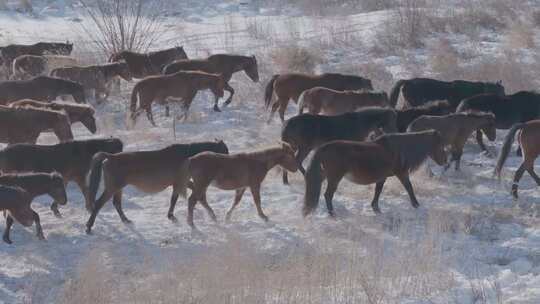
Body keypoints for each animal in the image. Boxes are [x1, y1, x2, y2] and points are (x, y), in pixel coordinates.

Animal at [85, 139, 229, 234]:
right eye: (224, 151)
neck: (187, 156)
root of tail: (110, 156)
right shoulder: (179, 182)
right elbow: (177, 198)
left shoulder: (179, 183)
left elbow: (175, 198)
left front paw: (171, 216)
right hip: (112, 187)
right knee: (99, 203)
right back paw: (89, 226)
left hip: (118, 188)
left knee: (116, 203)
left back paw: (126, 220)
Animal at [302, 130, 446, 216]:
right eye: (440, 145)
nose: (444, 161)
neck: (399, 150)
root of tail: (323, 148)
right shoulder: (402, 174)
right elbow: (409, 188)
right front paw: (416, 204)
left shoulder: (382, 178)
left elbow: (378, 191)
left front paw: (376, 208)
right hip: (334, 178)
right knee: (328, 195)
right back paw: (333, 214)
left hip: (324, 175)